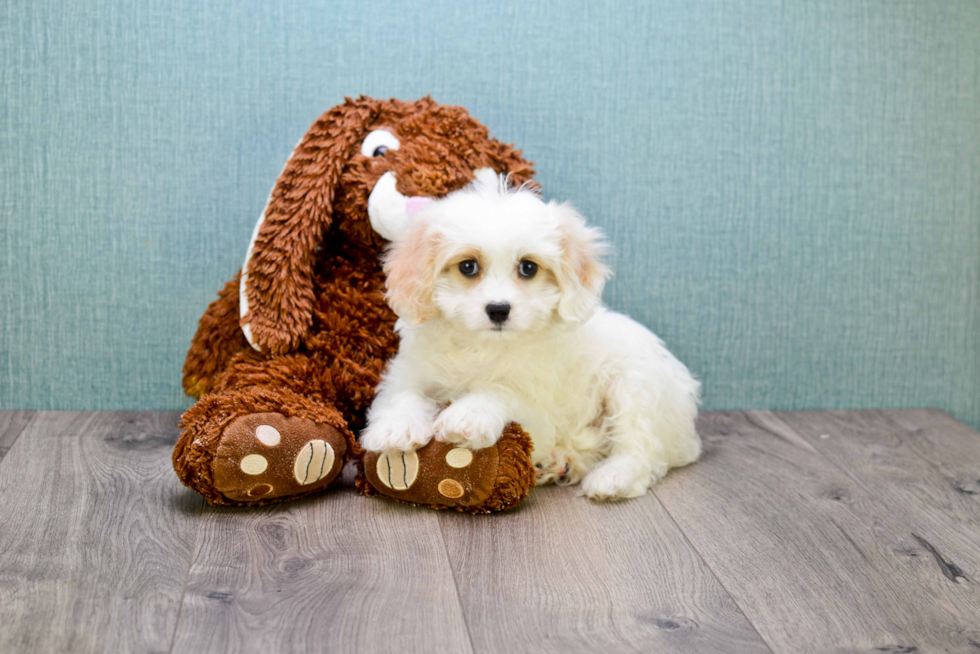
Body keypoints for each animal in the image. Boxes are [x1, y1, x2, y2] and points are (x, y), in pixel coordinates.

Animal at [364, 172, 700, 500]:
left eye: (528, 267)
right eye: (468, 266)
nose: (498, 309)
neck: (484, 346)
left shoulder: (540, 407)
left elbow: (501, 391)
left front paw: (469, 415)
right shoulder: (410, 369)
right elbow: (403, 392)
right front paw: (396, 428)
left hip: (635, 388)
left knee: (640, 450)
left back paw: (611, 478)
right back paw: (557, 465)